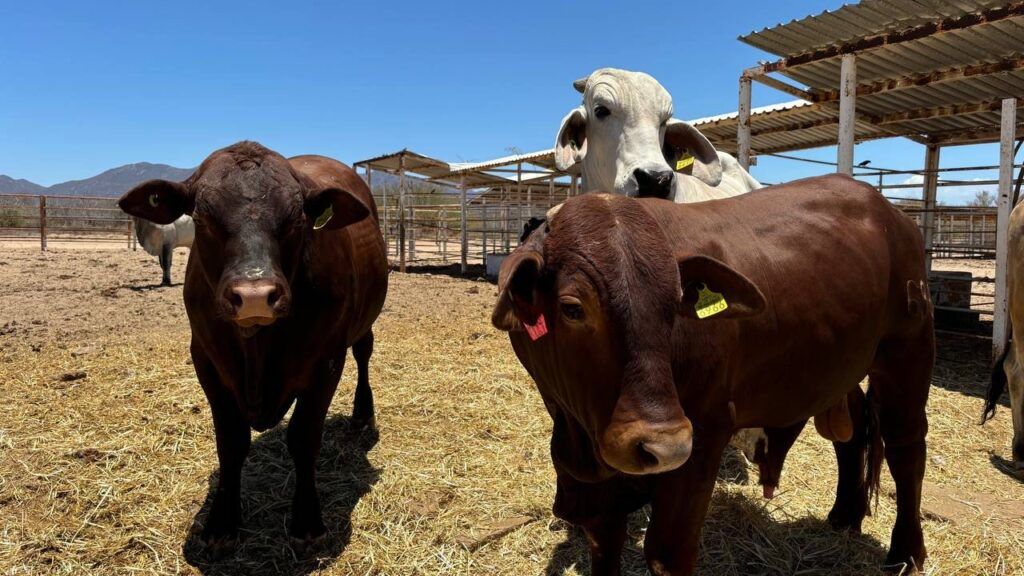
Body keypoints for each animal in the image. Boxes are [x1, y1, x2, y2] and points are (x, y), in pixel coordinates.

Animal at [117, 142, 387, 545]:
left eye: (297, 219)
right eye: (201, 219)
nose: (255, 296)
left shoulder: (327, 360)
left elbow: (304, 437)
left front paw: (307, 519)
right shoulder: (206, 360)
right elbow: (230, 442)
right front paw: (221, 520)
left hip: (364, 322)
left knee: (364, 354)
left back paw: (361, 414)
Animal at [491, 175, 933, 573]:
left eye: (675, 304)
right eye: (572, 308)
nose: (664, 446)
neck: (579, 438)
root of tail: (894, 214)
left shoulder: (704, 437)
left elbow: (668, 554)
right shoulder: (595, 492)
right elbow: (604, 544)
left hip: (907, 353)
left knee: (905, 446)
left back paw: (907, 552)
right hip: (839, 368)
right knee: (852, 431)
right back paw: (845, 515)